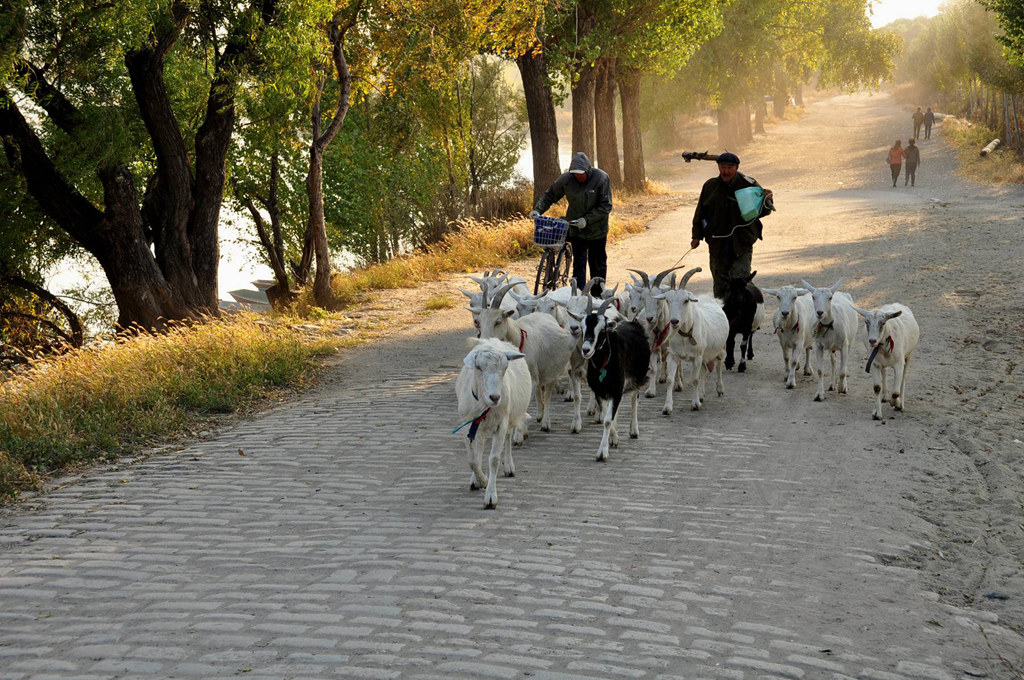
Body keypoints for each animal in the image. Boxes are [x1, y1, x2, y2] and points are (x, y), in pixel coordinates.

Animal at [458, 337, 532, 507]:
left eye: (504, 369)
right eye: (479, 368)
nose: (495, 397)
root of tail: (493, 340)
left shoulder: (501, 424)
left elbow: (494, 459)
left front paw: (490, 496)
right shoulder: (468, 426)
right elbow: (473, 460)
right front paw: (481, 480)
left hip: (509, 417)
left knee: (508, 437)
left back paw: (509, 466)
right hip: (480, 427)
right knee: (480, 448)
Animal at [471, 282, 577, 436]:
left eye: (498, 321)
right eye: (479, 321)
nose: (483, 342)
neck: (519, 338)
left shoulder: (531, 375)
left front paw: (518, 435)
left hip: (552, 369)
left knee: (548, 393)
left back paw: (545, 422)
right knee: (539, 389)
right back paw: (539, 415)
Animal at [581, 299, 651, 462]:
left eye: (602, 329)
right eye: (582, 327)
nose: (586, 350)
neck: (604, 363)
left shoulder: (616, 390)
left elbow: (607, 420)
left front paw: (602, 452)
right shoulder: (600, 391)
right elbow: (607, 416)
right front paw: (613, 438)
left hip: (637, 377)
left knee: (634, 399)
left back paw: (634, 430)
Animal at [655, 274, 729, 411]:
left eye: (686, 300)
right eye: (667, 300)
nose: (674, 321)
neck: (686, 335)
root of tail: (710, 299)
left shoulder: (697, 356)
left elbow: (695, 379)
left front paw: (695, 404)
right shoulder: (674, 355)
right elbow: (670, 380)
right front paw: (667, 407)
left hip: (720, 349)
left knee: (718, 366)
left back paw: (720, 389)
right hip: (704, 355)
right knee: (704, 370)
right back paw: (701, 395)